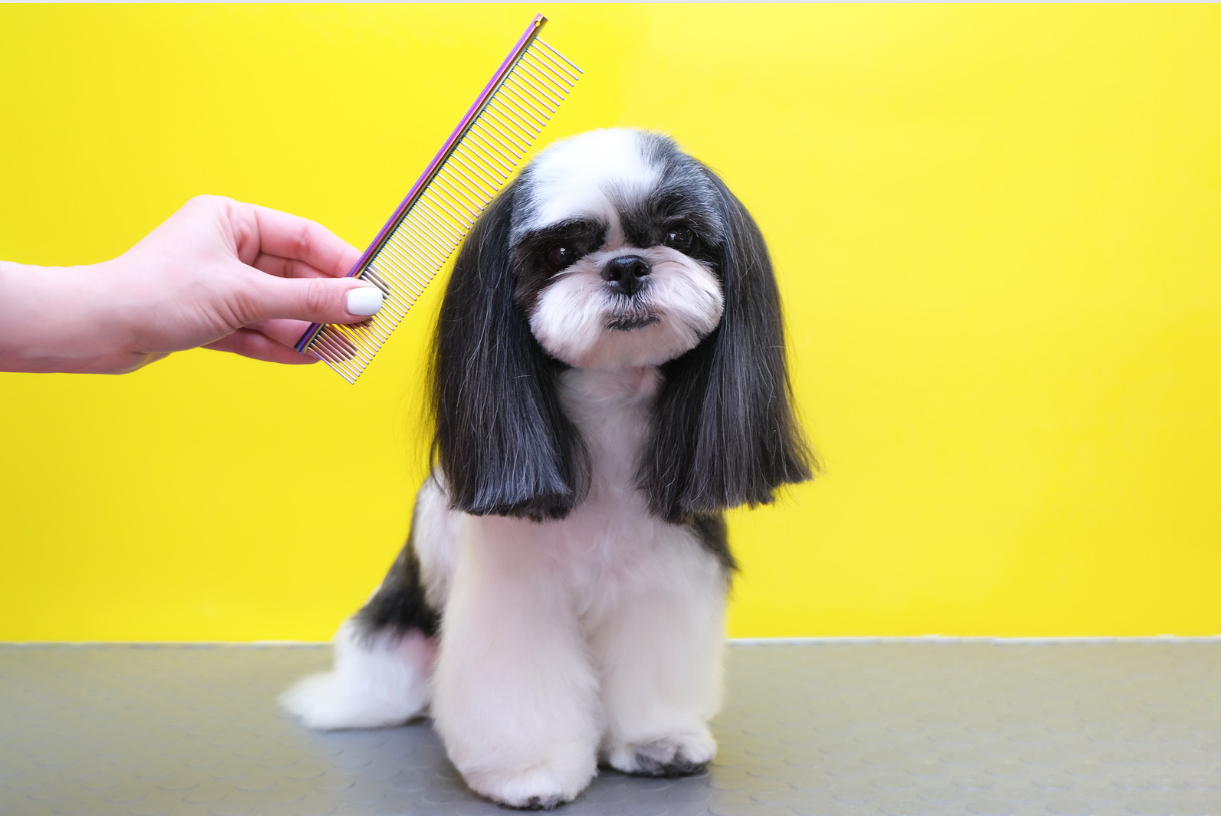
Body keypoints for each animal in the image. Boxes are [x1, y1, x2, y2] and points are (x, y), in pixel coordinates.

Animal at [282, 128, 815, 811]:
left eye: (679, 235)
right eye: (560, 250)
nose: (626, 266)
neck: (610, 411)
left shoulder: (662, 578)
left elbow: (652, 666)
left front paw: (656, 740)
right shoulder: (516, 597)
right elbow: (519, 690)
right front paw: (529, 772)